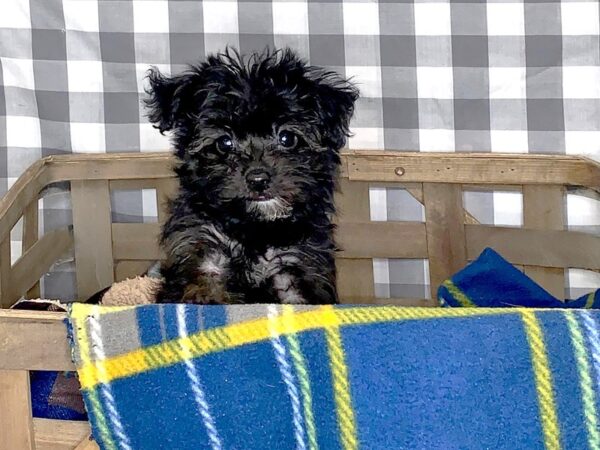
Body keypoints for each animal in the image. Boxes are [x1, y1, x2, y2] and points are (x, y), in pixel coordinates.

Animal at [144, 47, 360, 304]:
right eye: (224, 143)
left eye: (287, 138)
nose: (258, 179)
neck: (254, 229)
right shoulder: (203, 254)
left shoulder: (297, 264)